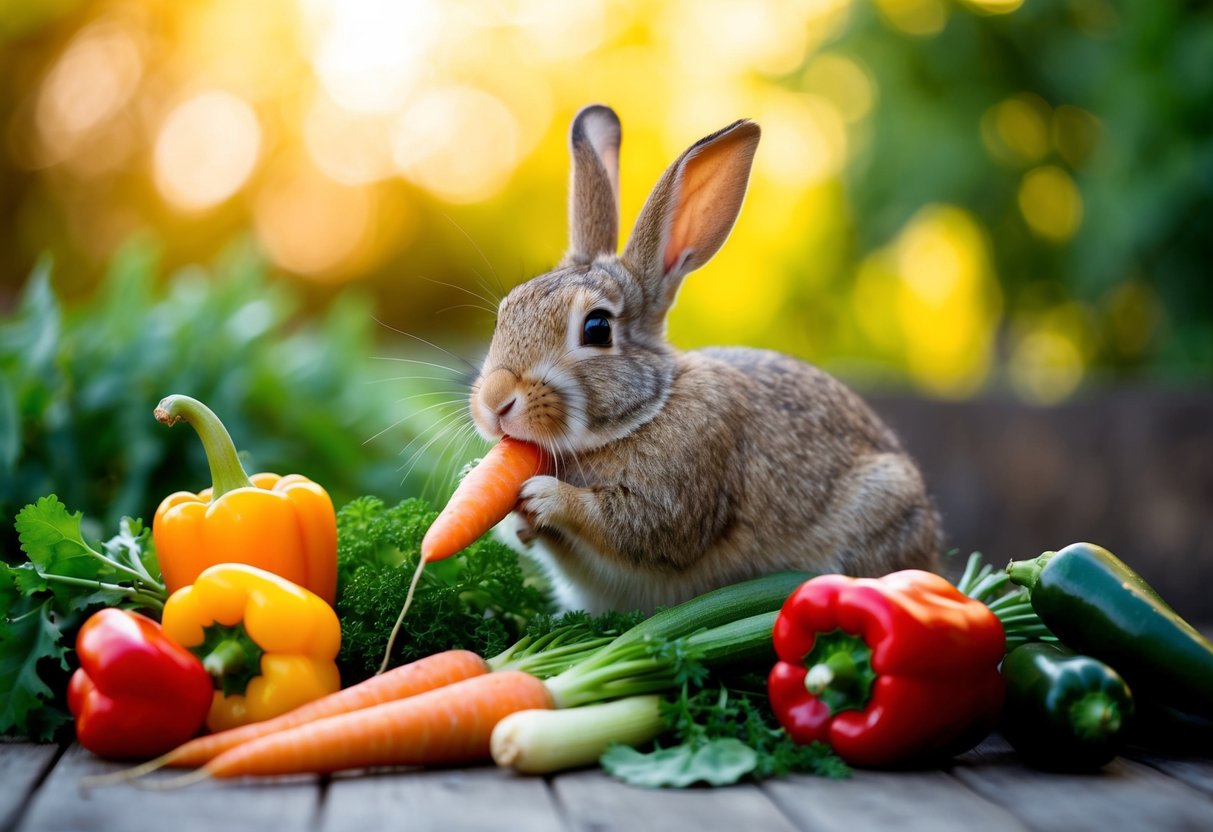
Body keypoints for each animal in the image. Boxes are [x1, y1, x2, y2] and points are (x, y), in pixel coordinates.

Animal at [468, 104, 943, 613]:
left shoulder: (674, 496)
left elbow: (629, 526)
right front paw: (491, 492)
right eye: (506, 310)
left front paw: (544, 496)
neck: (645, 412)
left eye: (597, 329)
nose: (494, 403)